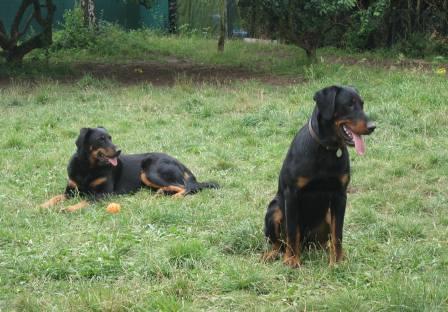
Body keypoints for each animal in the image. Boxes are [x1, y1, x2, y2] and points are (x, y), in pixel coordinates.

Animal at [41, 127, 220, 212]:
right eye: (101, 139)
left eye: (110, 137)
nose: (119, 150)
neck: (87, 167)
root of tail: (180, 162)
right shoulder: (71, 190)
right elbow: (55, 197)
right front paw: (41, 206)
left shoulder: (104, 193)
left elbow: (86, 200)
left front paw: (68, 208)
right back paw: (161, 193)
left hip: (149, 171)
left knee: (187, 187)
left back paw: (174, 196)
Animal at [262, 86, 374, 268]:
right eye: (349, 105)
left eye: (362, 104)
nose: (373, 126)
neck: (326, 149)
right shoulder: (291, 194)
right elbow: (292, 231)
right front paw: (292, 261)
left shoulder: (340, 195)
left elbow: (338, 234)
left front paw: (337, 262)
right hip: (274, 209)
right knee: (279, 243)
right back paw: (272, 254)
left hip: (327, 215)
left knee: (326, 241)